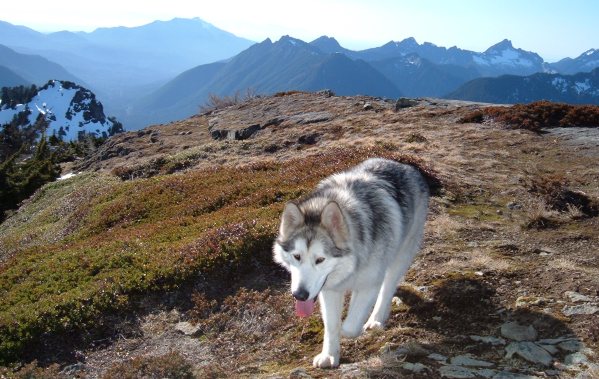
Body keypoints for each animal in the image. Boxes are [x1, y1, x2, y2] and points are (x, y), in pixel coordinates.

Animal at [274, 157, 428, 368]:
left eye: (320, 259)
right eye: (297, 256)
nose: (300, 295)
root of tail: (405, 166)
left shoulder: (369, 284)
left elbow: (349, 326)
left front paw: (353, 330)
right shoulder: (329, 291)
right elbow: (331, 326)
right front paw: (329, 356)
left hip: (401, 256)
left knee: (387, 289)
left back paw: (376, 320)